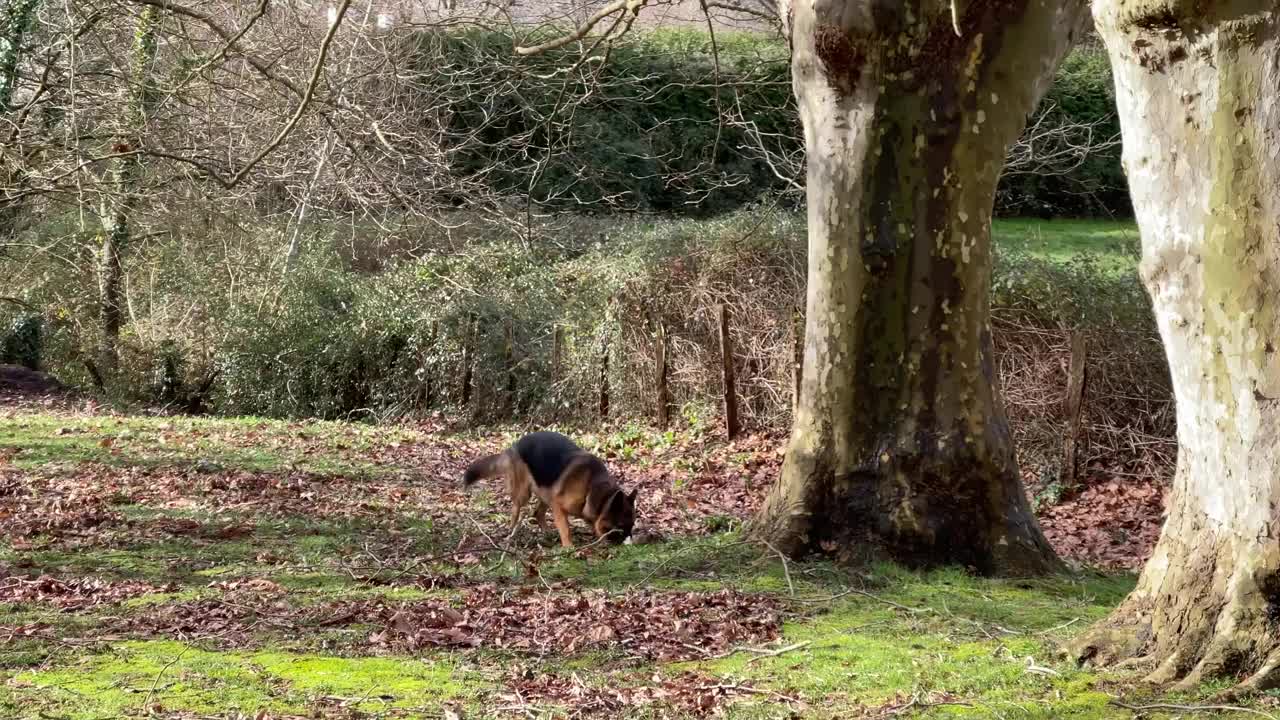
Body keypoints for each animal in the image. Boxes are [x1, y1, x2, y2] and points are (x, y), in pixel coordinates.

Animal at [463, 430, 637, 543]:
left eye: (632, 526)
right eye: (621, 526)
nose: (630, 544)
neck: (591, 488)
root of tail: (515, 444)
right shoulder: (558, 506)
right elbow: (566, 530)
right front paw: (569, 547)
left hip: (545, 492)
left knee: (537, 513)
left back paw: (547, 534)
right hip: (524, 494)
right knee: (516, 510)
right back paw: (510, 532)